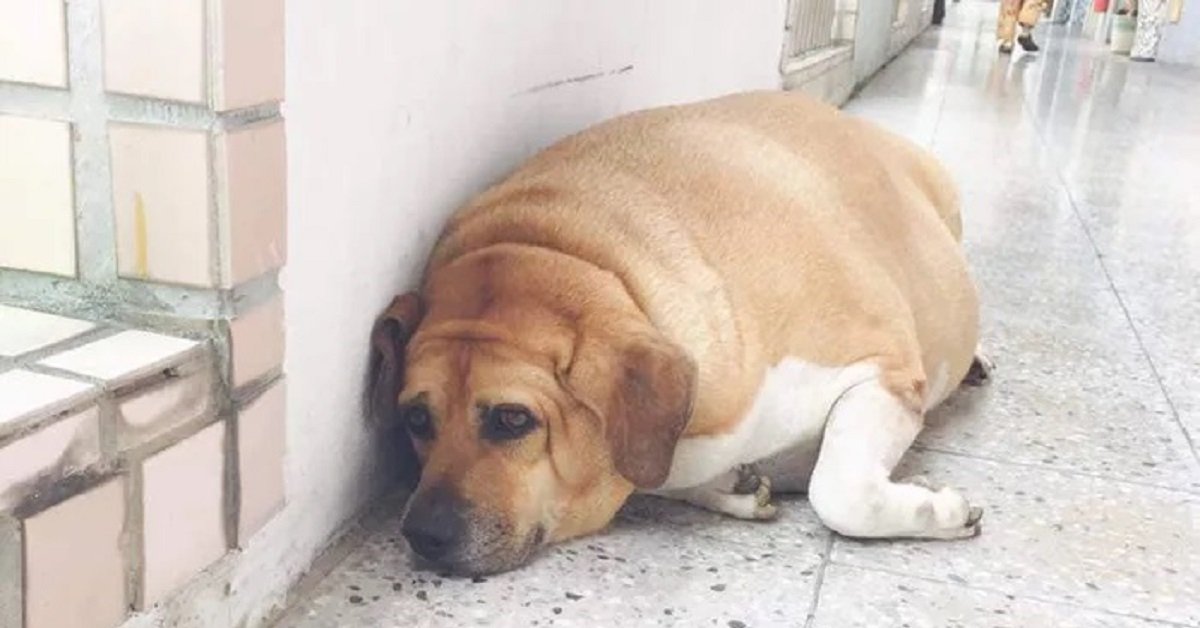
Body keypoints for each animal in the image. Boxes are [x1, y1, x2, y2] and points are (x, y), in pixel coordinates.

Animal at [369, 90, 988, 578]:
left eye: (513, 420)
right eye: (416, 418)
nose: (422, 534)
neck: (593, 260)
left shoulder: (881, 371)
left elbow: (838, 493)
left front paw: (942, 512)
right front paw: (732, 486)